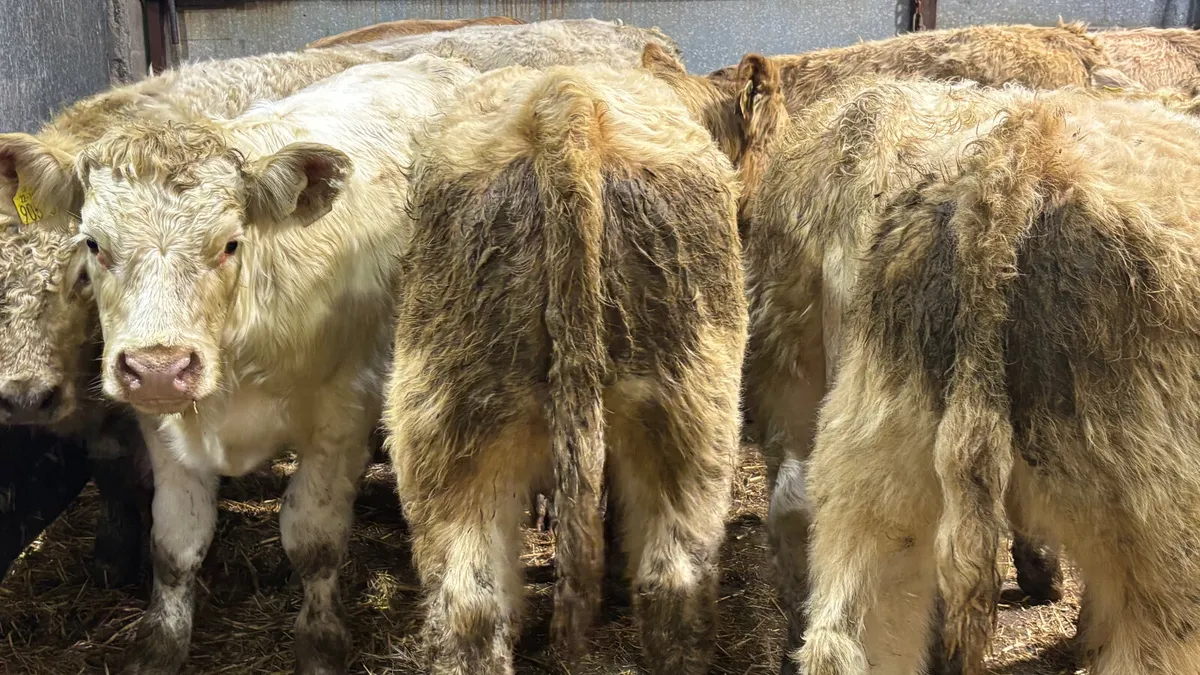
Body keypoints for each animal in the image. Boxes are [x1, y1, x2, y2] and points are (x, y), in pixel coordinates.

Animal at [57, 55, 478, 675]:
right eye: (93, 244)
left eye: (230, 243)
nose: (159, 367)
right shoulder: (162, 424)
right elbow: (175, 542)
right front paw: (160, 643)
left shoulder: (342, 412)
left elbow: (314, 540)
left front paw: (321, 642)